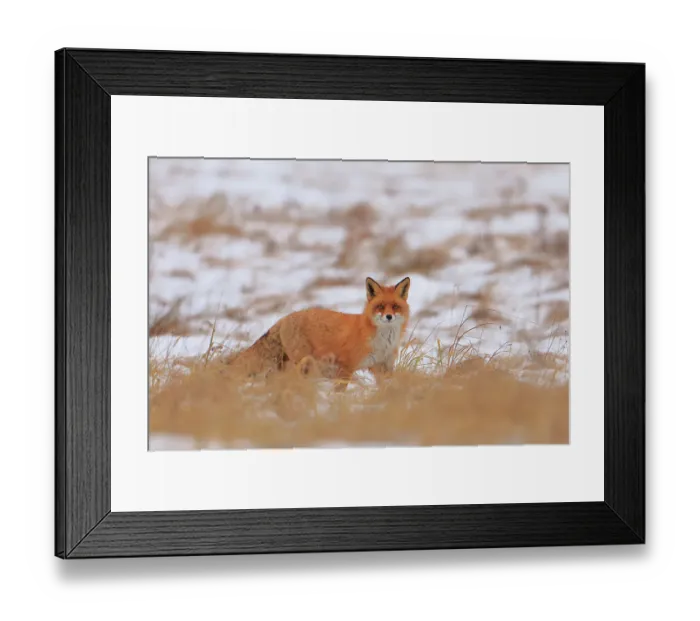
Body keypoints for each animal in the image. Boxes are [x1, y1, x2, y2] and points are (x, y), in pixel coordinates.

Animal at [225, 276, 411, 391]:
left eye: (395, 306)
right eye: (380, 306)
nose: (388, 316)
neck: (382, 341)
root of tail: (284, 318)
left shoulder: (383, 367)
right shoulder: (346, 367)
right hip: (302, 362)